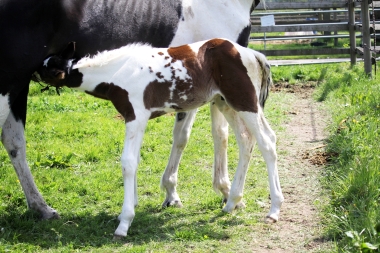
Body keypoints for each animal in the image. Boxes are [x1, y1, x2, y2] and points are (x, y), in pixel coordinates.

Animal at [0, 0, 262, 223]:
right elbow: (216, 135)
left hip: (18, 86)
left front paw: (171, 194)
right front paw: (225, 191)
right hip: (9, 83)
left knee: (14, 142)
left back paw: (41, 207)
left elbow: (185, 136)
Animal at [37, 38, 282, 238]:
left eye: (48, 68)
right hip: (226, 103)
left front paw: (124, 223)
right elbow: (135, 160)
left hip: (244, 101)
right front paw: (128, 210)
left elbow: (128, 162)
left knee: (266, 143)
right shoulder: (138, 119)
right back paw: (231, 203)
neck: (117, 72)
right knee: (248, 140)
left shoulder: (135, 116)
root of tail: (253, 54)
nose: (29, 72)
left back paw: (274, 210)